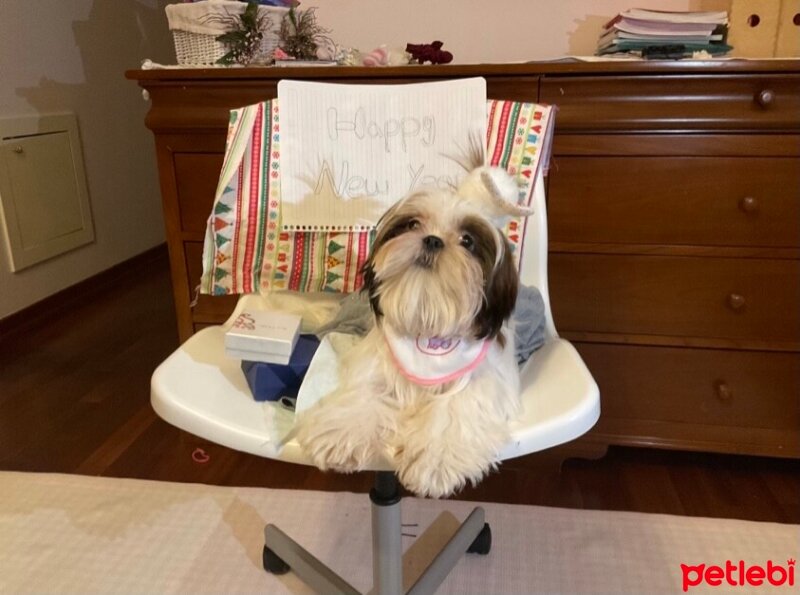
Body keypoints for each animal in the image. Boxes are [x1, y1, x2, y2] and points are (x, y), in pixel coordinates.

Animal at [294, 164, 532, 498]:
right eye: (413, 224)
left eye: (467, 241)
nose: (432, 239)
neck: (428, 318)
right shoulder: (377, 363)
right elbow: (364, 394)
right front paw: (340, 435)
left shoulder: (484, 381)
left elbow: (453, 410)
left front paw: (435, 463)